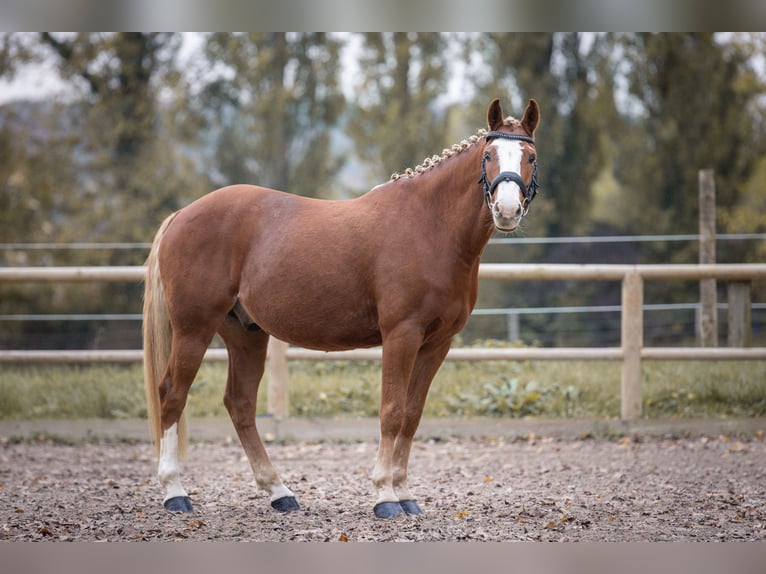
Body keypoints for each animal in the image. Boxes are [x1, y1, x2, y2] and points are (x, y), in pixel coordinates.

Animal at [142, 99, 540, 520]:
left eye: (530, 156)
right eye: (488, 155)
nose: (507, 210)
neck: (429, 226)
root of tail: (181, 216)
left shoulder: (437, 343)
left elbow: (412, 415)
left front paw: (405, 493)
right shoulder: (401, 335)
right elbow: (391, 411)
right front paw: (384, 495)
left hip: (245, 334)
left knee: (240, 404)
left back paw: (279, 492)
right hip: (194, 329)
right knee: (172, 394)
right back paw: (175, 492)